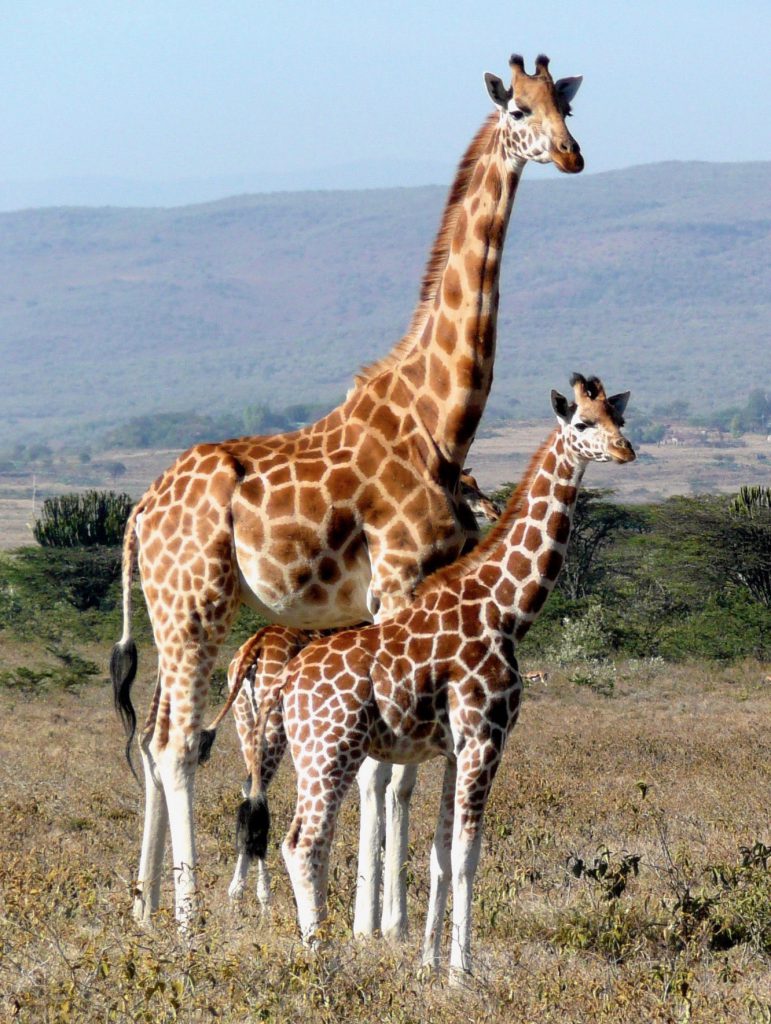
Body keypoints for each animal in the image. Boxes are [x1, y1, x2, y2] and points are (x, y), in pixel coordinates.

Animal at [221, 472, 501, 905]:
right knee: (259, 793)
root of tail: (255, 649)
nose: (493, 510)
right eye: (467, 486)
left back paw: (242, 890)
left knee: (249, 790)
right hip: (275, 728)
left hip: (246, 722)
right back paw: (261, 893)